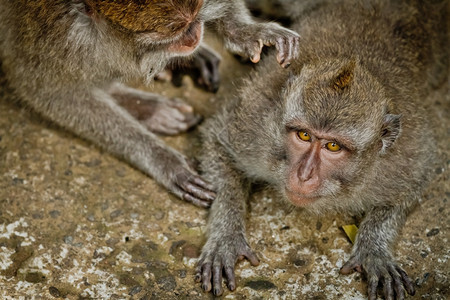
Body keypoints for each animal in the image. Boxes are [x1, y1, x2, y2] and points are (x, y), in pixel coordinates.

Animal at [0, 0, 302, 207]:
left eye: (193, 17)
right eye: (174, 30)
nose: (194, 34)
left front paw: (248, 31)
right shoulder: (51, 30)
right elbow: (46, 91)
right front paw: (163, 159)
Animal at [197, 0, 446, 298]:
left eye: (332, 146)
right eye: (304, 135)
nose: (304, 175)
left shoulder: (403, 157)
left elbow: (411, 188)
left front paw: (374, 249)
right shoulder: (253, 129)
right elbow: (217, 141)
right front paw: (227, 236)